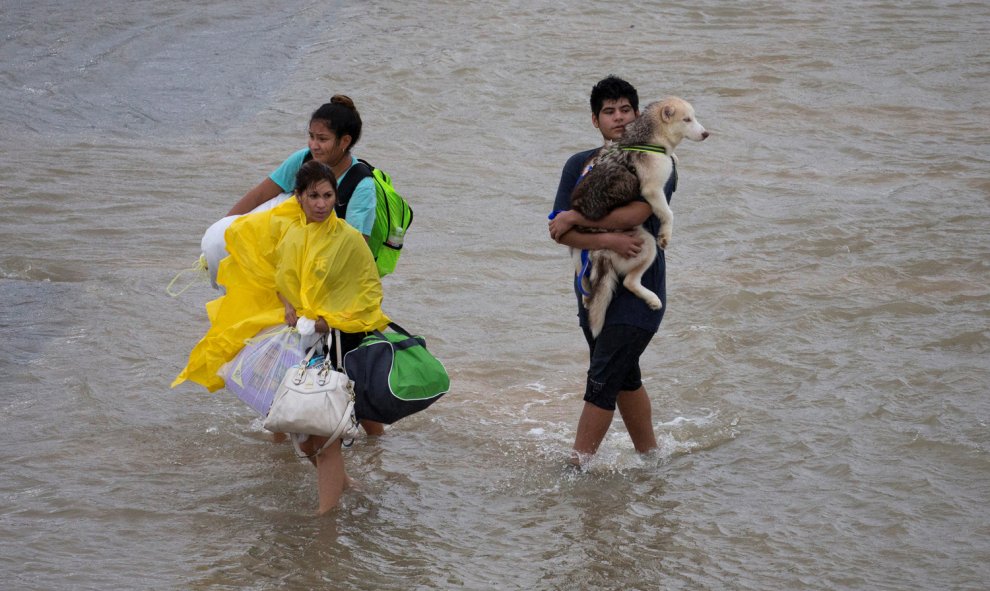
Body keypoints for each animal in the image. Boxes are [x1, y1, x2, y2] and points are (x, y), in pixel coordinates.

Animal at [568, 97, 708, 338]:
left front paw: (674, 156)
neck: (647, 138)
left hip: (578, 252)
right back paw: (652, 299)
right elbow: (668, 214)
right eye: (687, 119)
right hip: (647, 245)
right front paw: (666, 234)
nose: (706, 133)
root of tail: (599, 252)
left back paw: (587, 298)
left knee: (583, 279)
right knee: (629, 282)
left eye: (694, 118)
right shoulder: (652, 191)